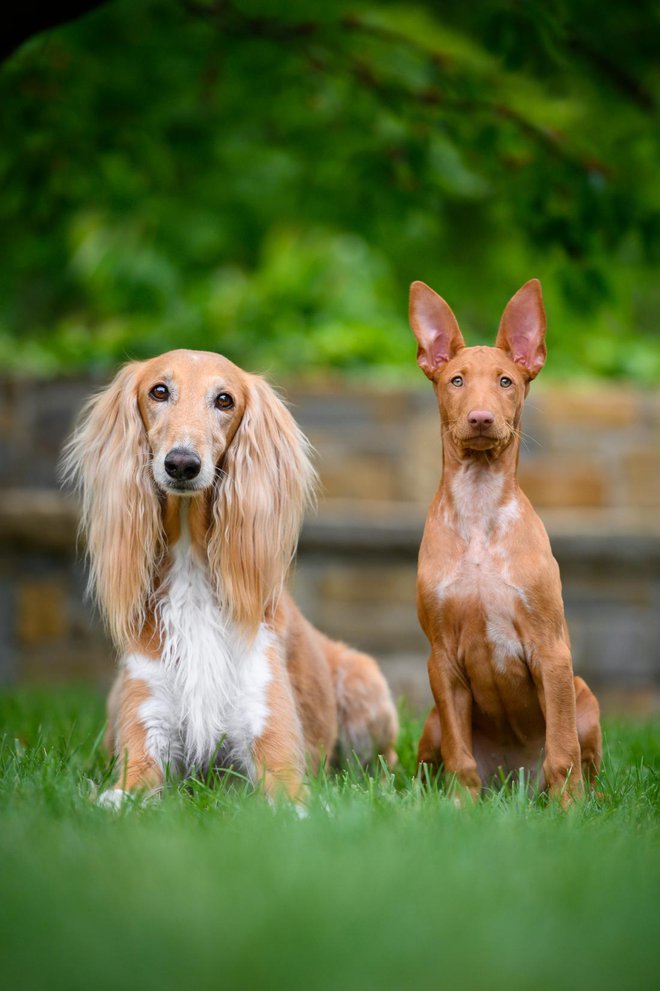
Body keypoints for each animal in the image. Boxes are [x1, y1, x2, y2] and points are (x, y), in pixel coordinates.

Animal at [64, 348, 398, 808]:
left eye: (224, 400)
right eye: (159, 391)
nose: (182, 463)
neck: (192, 579)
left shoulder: (275, 752)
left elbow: (296, 803)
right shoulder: (146, 744)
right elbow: (119, 796)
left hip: (365, 683)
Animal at [410, 280, 600, 808]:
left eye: (506, 382)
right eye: (456, 381)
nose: (480, 419)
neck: (479, 510)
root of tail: (513, 781)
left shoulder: (551, 652)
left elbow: (562, 752)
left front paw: (571, 812)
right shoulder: (441, 661)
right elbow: (460, 757)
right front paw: (460, 808)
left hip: (584, 696)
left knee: (581, 759)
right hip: (431, 722)